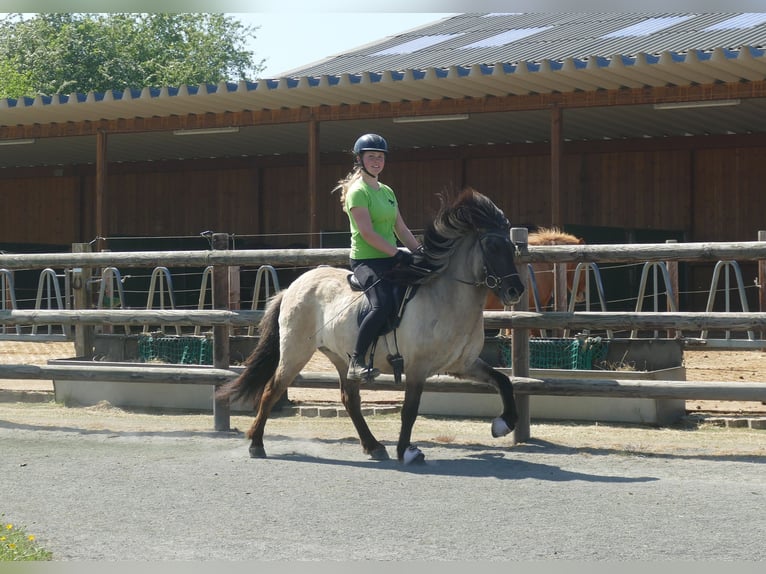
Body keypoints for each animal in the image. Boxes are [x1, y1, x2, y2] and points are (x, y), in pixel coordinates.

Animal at [218, 188, 525, 464]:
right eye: (492, 247)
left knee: (349, 399)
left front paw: (503, 424)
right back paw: (256, 444)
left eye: (511, 247)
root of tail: (293, 287)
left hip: (341, 357)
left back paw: (374, 446)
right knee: (272, 389)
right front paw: (407, 451)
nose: (515, 291)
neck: (446, 298)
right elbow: (409, 410)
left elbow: (503, 380)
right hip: (295, 352)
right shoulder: (418, 368)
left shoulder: (462, 365)